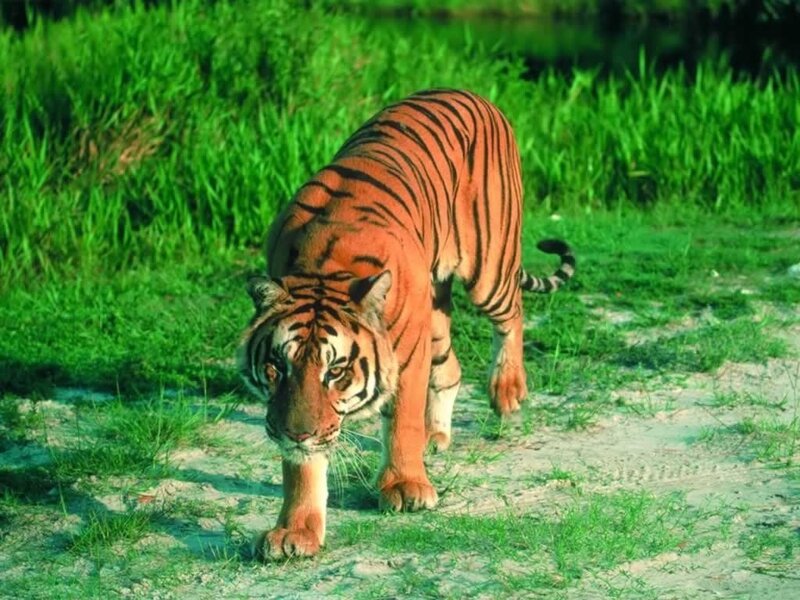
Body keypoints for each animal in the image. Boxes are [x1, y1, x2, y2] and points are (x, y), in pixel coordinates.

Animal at [239, 89, 575, 560]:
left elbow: (402, 419)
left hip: (487, 270)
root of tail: (472, 94)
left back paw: (507, 390)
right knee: (451, 368)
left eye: (336, 371)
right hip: (434, 306)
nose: (296, 433)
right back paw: (436, 436)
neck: (323, 267)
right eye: (275, 367)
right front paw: (295, 532)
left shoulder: (407, 351)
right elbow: (303, 466)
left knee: (513, 313)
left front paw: (405, 487)